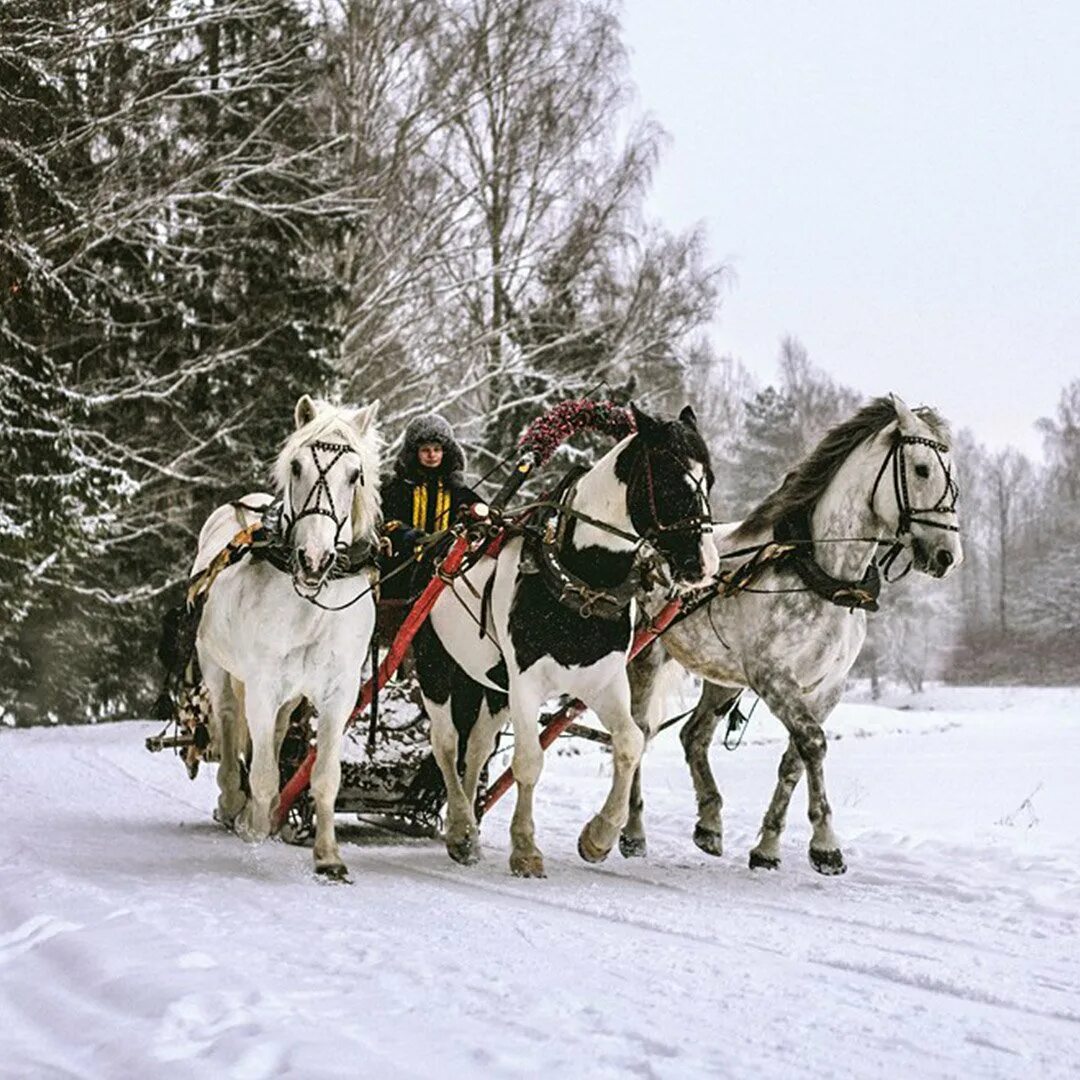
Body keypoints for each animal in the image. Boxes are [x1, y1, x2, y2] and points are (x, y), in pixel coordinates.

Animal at [192, 397, 382, 876]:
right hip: (215, 664)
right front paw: (254, 823)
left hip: (291, 695)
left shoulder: (338, 691)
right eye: (296, 466)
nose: (314, 558)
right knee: (228, 720)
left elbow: (325, 776)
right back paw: (233, 800)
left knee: (276, 732)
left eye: (355, 475)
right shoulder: (261, 684)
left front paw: (328, 856)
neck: (312, 601)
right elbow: (261, 773)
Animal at [626, 397, 963, 876]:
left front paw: (767, 846)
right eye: (921, 469)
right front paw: (825, 845)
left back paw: (709, 822)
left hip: (722, 677)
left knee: (693, 735)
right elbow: (814, 745)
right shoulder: (773, 679)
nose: (948, 555)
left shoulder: (826, 688)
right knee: (636, 733)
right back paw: (632, 830)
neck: (823, 576)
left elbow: (794, 759)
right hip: (647, 655)